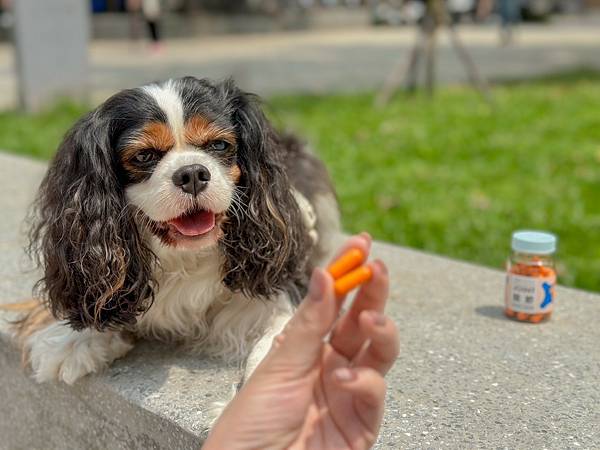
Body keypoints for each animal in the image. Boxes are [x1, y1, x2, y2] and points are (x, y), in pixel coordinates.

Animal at [11, 76, 340, 386]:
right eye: (144, 156)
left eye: (219, 145)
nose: (192, 173)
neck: (184, 257)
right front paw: (74, 341)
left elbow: (279, 337)